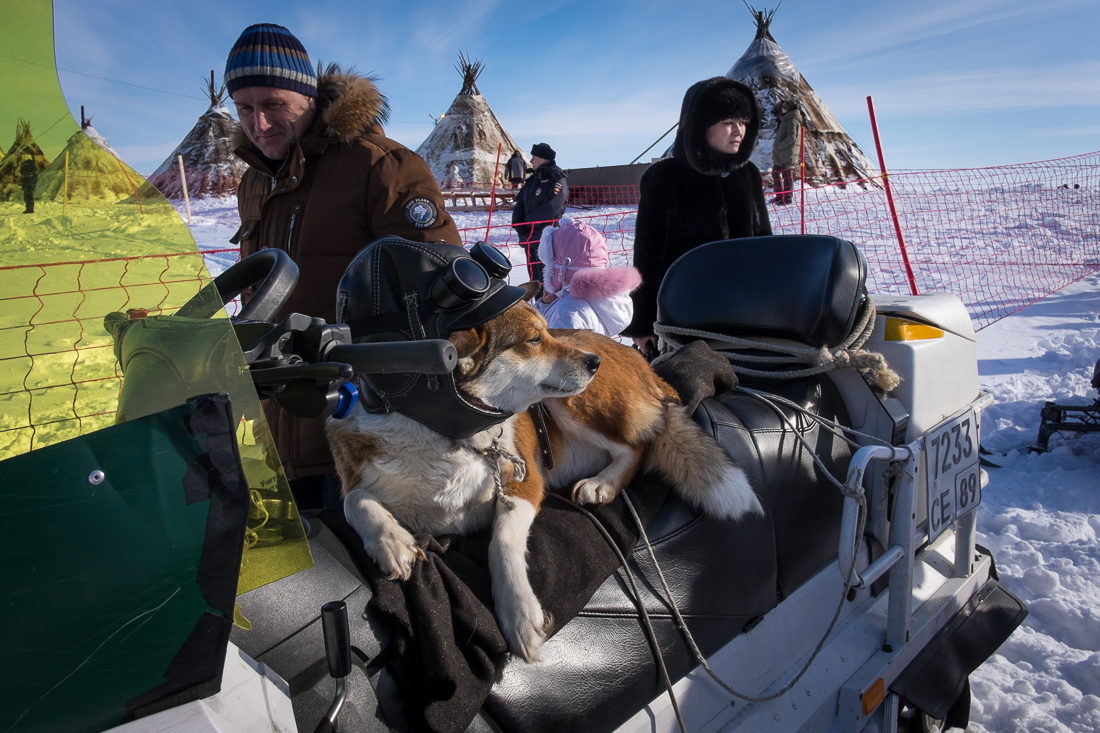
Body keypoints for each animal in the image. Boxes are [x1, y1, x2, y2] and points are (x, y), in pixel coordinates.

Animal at [325, 290, 756, 660]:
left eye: (546, 332)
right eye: (534, 340)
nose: (592, 363)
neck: (449, 439)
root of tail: (633, 357)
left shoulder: (525, 484)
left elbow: (500, 542)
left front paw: (518, 613)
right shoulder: (357, 474)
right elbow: (352, 500)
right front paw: (391, 540)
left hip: (571, 402)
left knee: (638, 447)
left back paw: (603, 484)